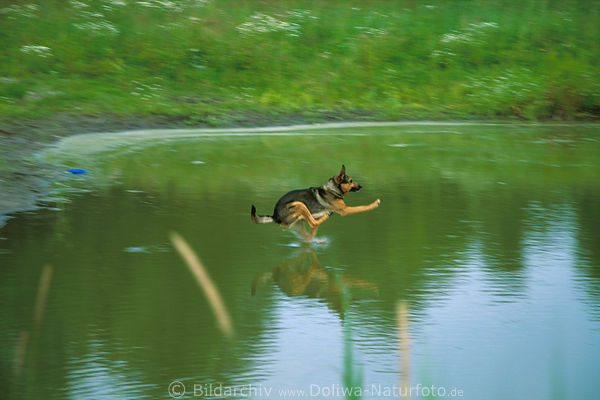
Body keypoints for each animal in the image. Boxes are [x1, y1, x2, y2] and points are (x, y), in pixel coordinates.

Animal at [251, 164, 382, 239]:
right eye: (350, 181)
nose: (361, 186)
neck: (333, 189)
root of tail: (274, 216)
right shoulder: (345, 210)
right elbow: (362, 207)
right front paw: (374, 204)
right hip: (299, 204)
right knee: (313, 224)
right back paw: (324, 217)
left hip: (299, 223)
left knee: (308, 235)